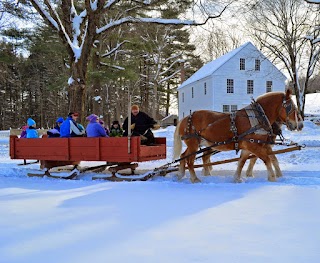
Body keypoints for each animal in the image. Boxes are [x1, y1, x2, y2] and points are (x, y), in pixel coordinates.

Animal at [174, 89, 304, 184]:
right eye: (291, 107)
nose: (300, 124)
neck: (259, 118)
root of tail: (184, 119)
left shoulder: (248, 146)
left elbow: (242, 162)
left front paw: (237, 178)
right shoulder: (253, 145)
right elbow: (267, 159)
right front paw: (272, 177)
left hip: (195, 144)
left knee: (183, 156)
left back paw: (180, 174)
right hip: (194, 144)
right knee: (190, 160)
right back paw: (195, 178)